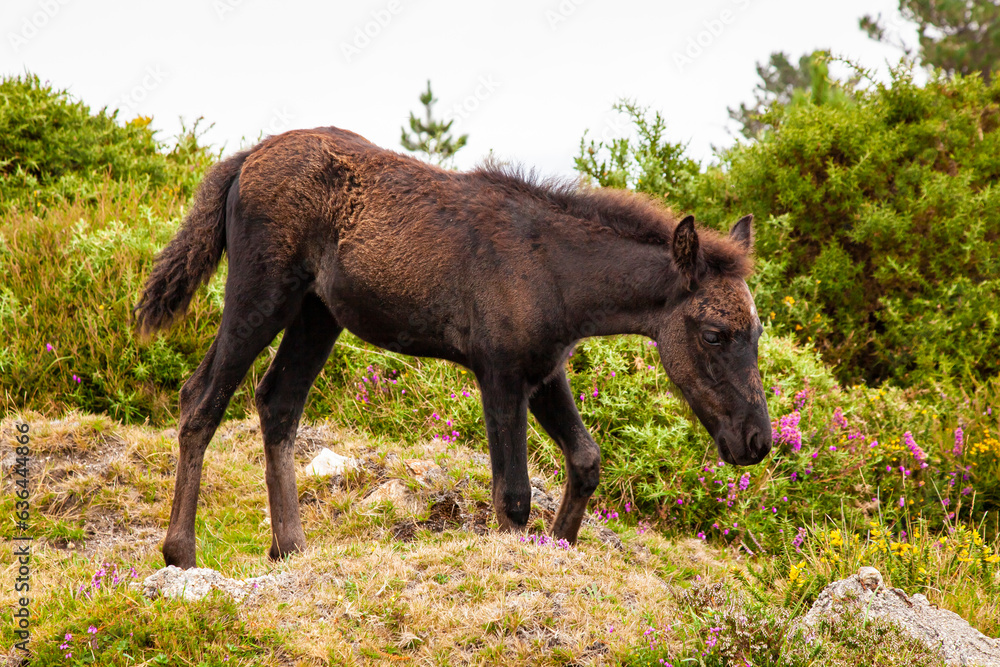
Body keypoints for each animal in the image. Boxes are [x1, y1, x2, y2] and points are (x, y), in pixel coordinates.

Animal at [134, 126, 771, 569]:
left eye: (758, 329)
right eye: (714, 333)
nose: (756, 441)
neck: (562, 281)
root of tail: (244, 160)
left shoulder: (543, 370)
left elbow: (586, 460)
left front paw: (560, 547)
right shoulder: (499, 371)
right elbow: (513, 497)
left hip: (318, 313)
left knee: (277, 402)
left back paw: (289, 546)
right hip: (260, 294)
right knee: (201, 398)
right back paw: (180, 552)